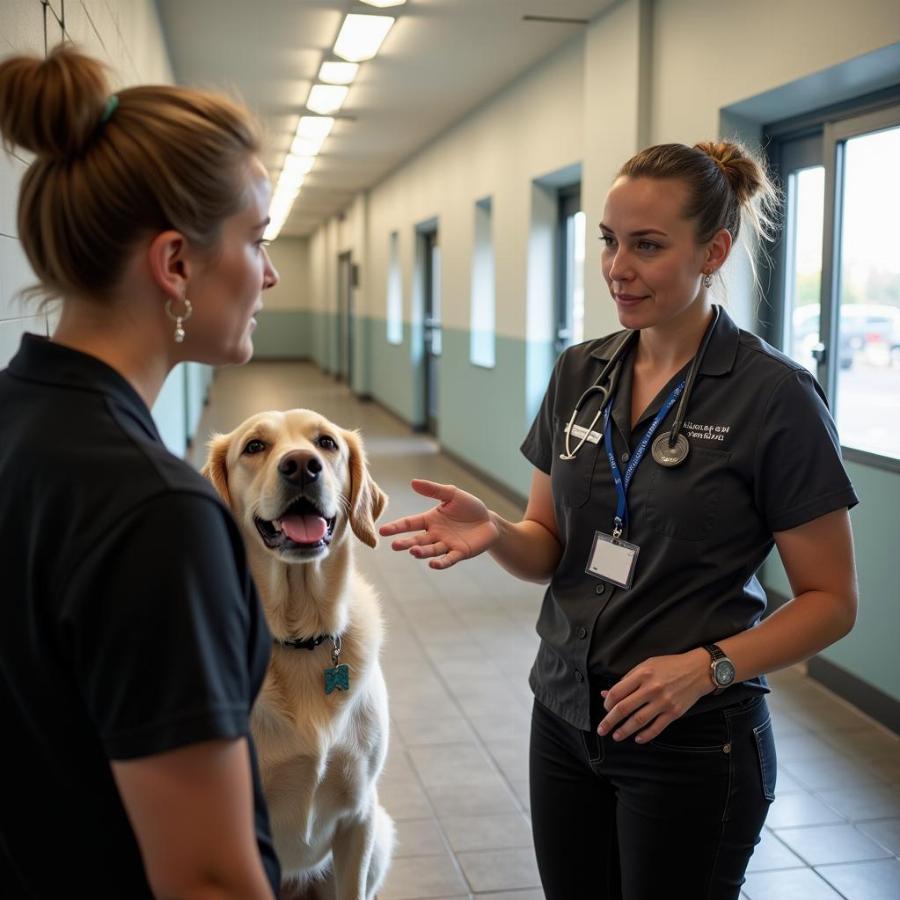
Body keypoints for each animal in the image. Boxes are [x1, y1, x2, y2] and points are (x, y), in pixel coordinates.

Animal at [204, 410, 394, 900]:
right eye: (254, 447)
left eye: (326, 443)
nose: (302, 467)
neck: (298, 638)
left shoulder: (359, 816)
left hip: (382, 834)